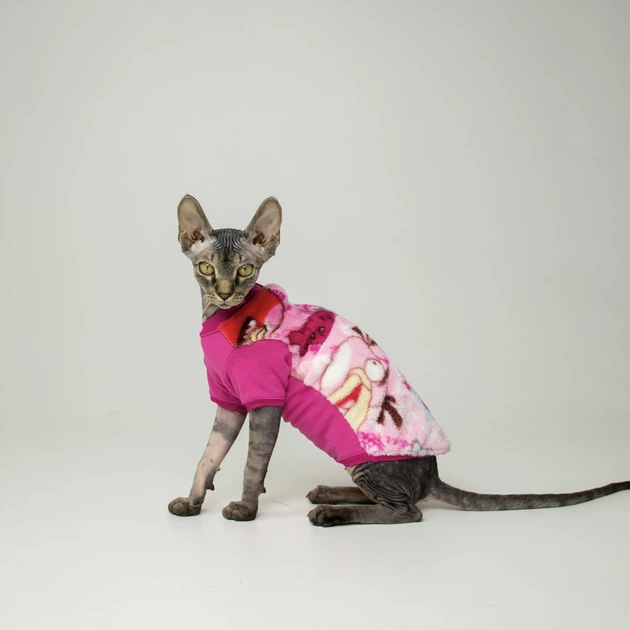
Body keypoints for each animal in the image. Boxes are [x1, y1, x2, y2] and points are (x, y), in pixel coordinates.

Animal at [168, 194, 630, 527]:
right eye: (207, 268)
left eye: (246, 270)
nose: (225, 292)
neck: (221, 321)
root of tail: (432, 473)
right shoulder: (228, 403)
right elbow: (208, 456)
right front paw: (192, 502)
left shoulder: (264, 402)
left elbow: (252, 464)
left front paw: (245, 511)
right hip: (354, 459)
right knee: (399, 500)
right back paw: (330, 492)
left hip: (368, 460)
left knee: (409, 510)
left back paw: (332, 512)